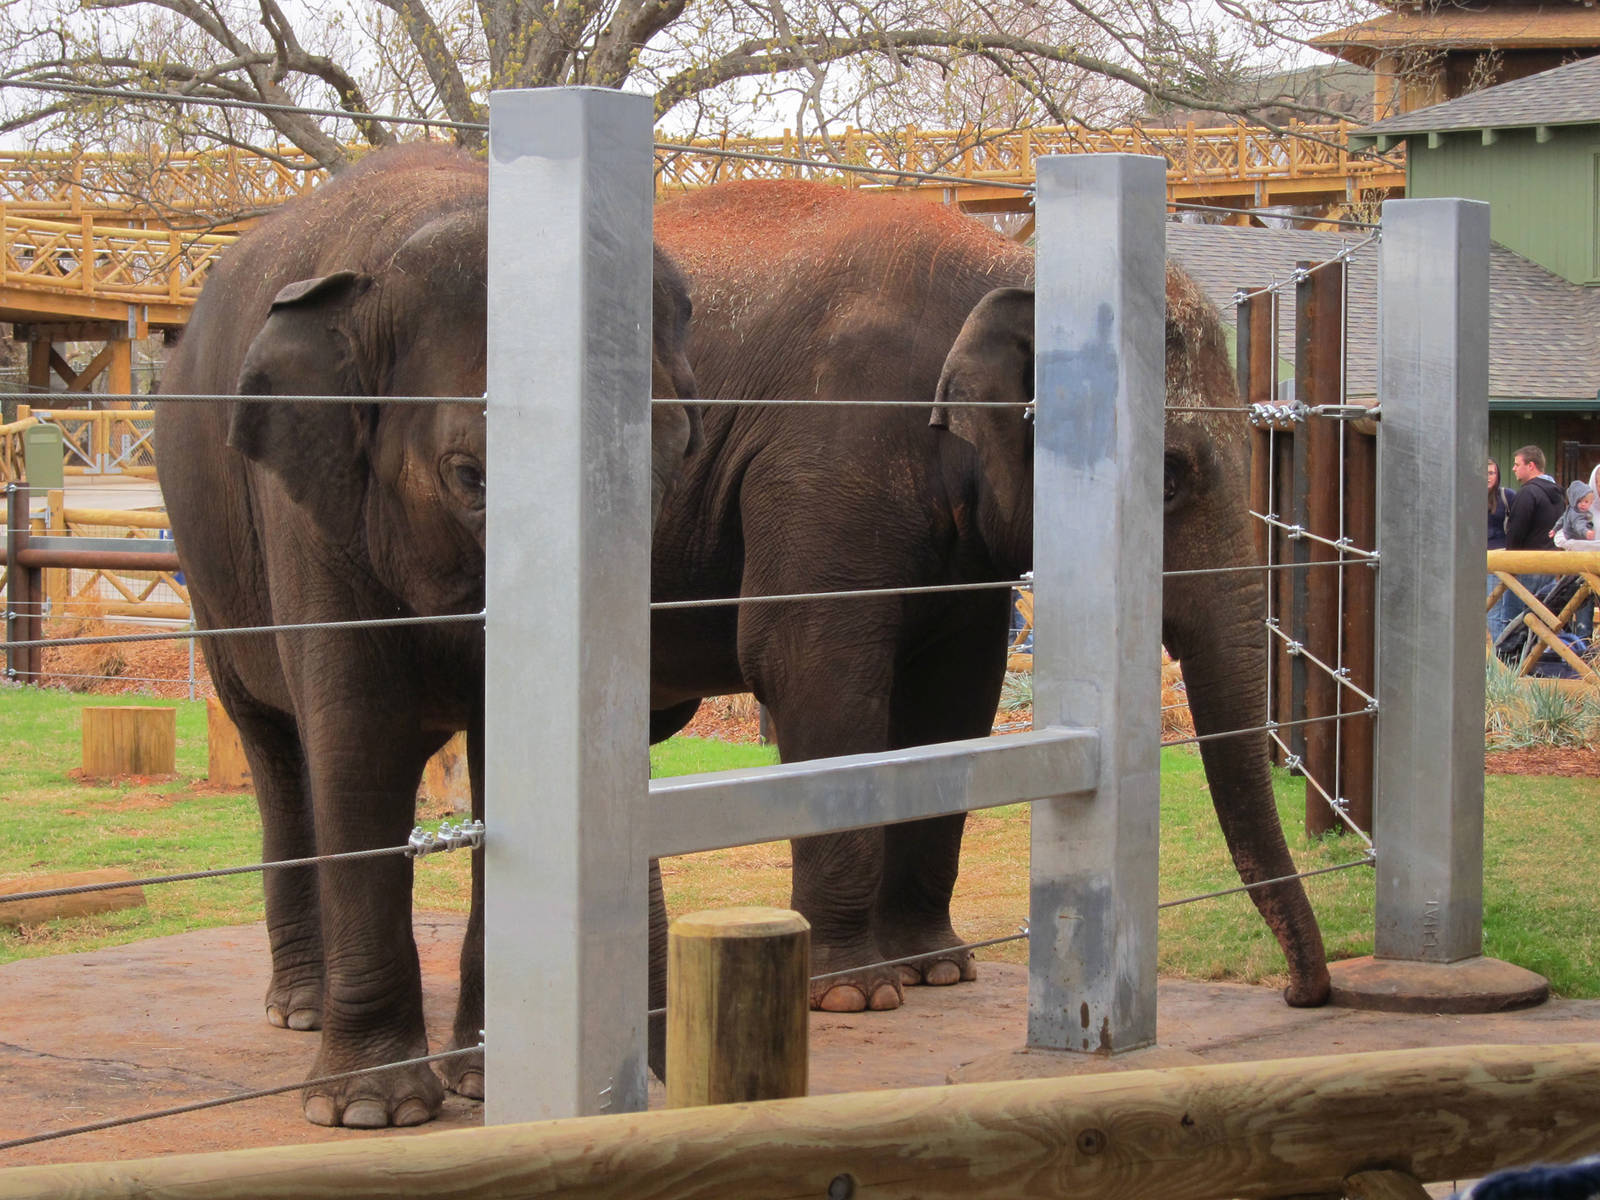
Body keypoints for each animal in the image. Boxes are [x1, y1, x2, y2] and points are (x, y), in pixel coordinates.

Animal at [156, 143, 700, 1128]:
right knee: (280, 753)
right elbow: (359, 747)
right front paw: (370, 1112)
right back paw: (299, 1011)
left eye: (679, 455)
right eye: (470, 476)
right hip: (209, 564)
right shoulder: (310, 510)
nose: (650, 1072)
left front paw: (485, 1082)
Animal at [648, 179, 1331, 1019]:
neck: (1012, 263)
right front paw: (856, 995)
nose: (1304, 995)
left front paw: (937, 970)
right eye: (1170, 476)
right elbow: (808, 667)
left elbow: (955, 696)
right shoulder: (828, 447)